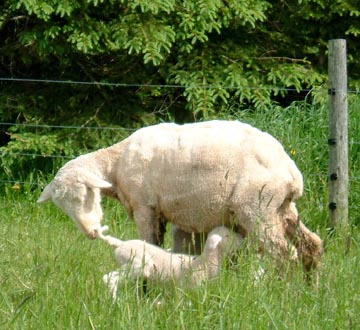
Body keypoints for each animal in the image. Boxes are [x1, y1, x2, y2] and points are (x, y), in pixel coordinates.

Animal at [37, 120, 324, 278]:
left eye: (85, 194)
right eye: (63, 207)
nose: (91, 233)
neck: (116, 164)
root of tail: (290, 171)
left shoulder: (145, 207)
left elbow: (151, 242)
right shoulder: (183, 217)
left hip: (258, 208)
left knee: (286, 255)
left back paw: (283, 292)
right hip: (281, 208)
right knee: (312, 246)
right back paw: (311, 290)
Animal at [97, 224, 245, 296]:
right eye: (227, 236)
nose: (242, 239)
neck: (204, 263)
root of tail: (120, 244)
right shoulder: (186, 289)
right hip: (136, 266)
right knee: (109, 278)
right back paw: (115, 301)